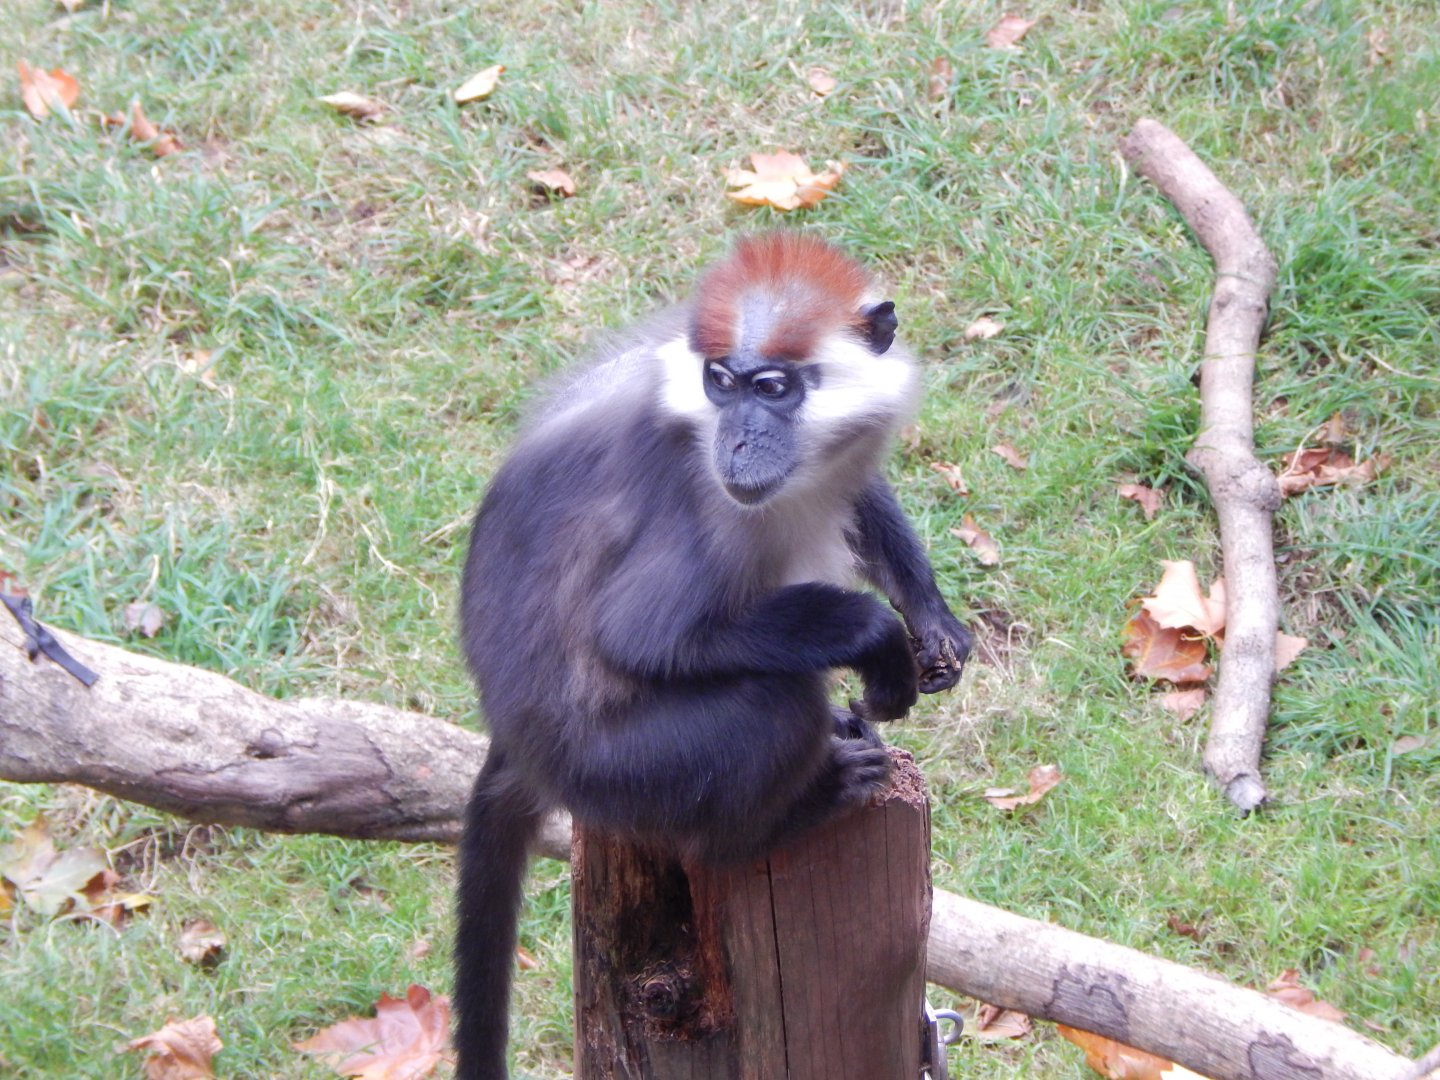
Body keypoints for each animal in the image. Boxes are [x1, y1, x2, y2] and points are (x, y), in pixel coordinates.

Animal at [454, 232, 972, 1079]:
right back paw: (781, 817)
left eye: (771, 387)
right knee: (772, 704)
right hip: (624, 768)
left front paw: (929, 618)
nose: (738, 440)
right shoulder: (700, 497)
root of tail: (518, 745)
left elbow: (856, 498)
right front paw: (877, 636)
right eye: (721, 385)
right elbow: (642, 634)